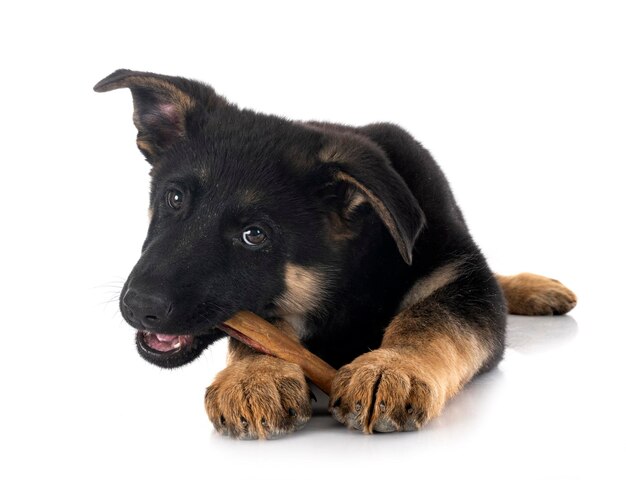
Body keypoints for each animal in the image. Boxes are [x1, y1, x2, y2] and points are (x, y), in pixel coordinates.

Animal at [94, 69, 576, 440]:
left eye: (254, 235)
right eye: (174, 198)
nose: (138, 306)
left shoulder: (463, 277)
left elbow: (433, 318)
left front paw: (392, 368)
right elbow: (261, 330)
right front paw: (256, 376)